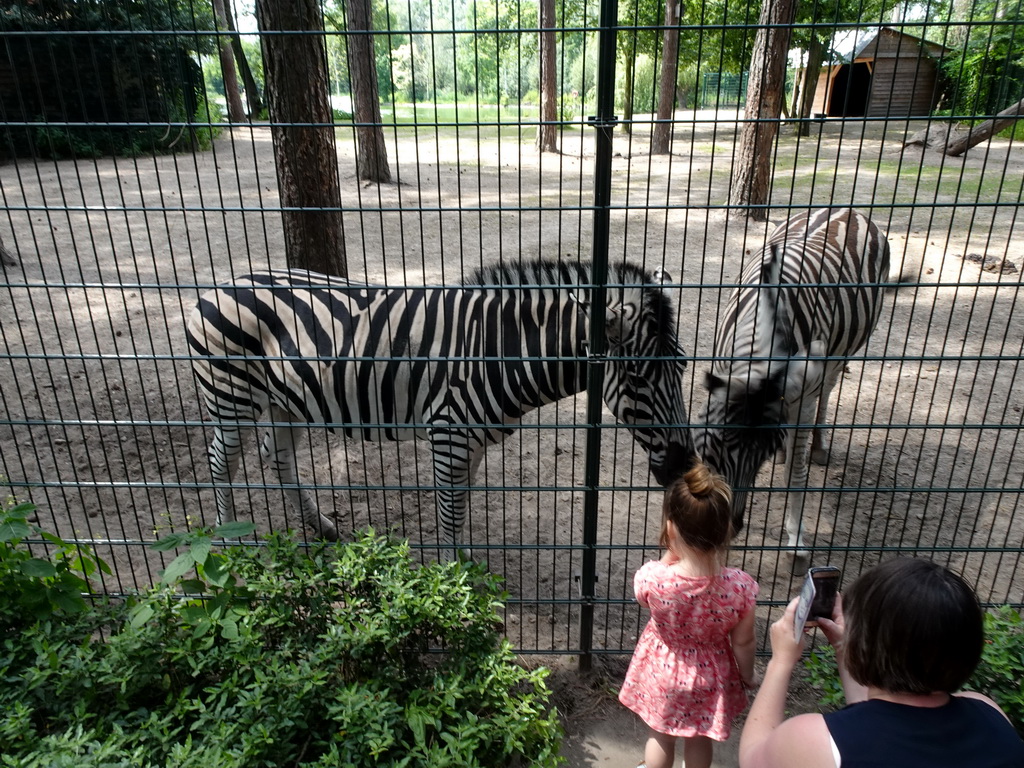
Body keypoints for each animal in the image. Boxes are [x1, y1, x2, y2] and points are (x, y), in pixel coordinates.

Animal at [186, 262, 696, 557]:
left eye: (683, 366)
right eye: (637, 378)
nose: (681, 468)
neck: (499, 349)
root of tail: (224, 282)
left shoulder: (473, 441)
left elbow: (462, 504)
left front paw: (464, 564)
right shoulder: (449, 435)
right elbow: (450, 512)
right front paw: (451, 581)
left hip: (285, 400)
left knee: (277, 457)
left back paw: (323, 526)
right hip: (231, 394)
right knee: (219, 461)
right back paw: (226, 540)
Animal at [696, 207, 888, 569]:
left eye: (762, 457)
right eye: (715, 445)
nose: (731, 527)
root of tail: (847, 209)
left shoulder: (803, 396)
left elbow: (796, 475)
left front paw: (796, 537)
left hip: (840, 356)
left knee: (828, 389)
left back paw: (819, 446)